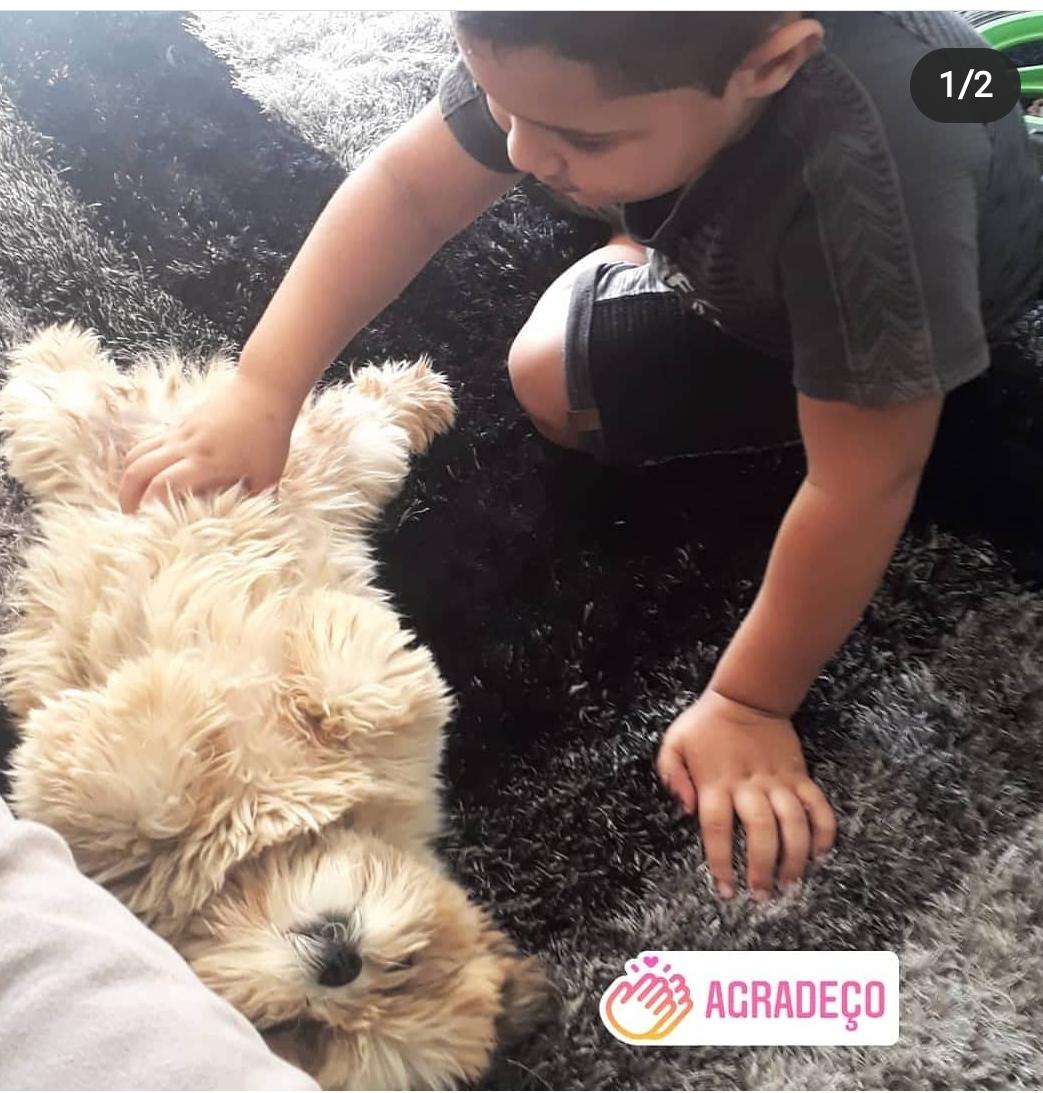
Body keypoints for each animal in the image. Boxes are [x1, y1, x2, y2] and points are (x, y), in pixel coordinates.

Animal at [0, 323, 547, 1090]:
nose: (340, 960)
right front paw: (246, 675)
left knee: (355, 419)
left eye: (302, 1033)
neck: (268, 848)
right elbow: (380, 691)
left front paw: (174, 692)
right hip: (208, 452)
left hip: (344, 461)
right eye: (407, 963)